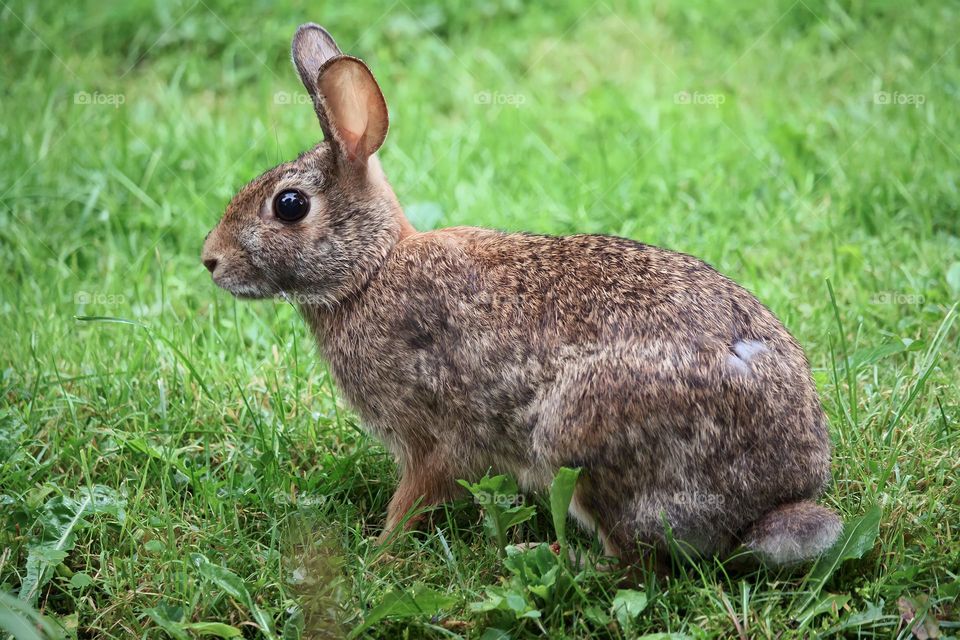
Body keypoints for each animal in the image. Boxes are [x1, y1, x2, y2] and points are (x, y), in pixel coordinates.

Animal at [201, 22, 840, 568]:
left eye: (289, 205)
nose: (210, 260)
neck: (369, 272)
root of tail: (775, 496)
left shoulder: (432, 440)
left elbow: (414, 498)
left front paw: (376, 553)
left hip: (577, 436)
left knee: (633, 566)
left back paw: (545, 554)